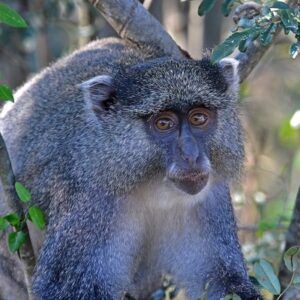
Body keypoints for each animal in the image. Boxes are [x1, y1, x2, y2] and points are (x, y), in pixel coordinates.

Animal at [0, 38, 260, 300]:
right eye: (163, 123)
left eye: (199, 118)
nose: (191, 155)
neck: (151, 186)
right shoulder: (90, 198)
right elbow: (67, 288)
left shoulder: (210, 196)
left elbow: (222, 280)